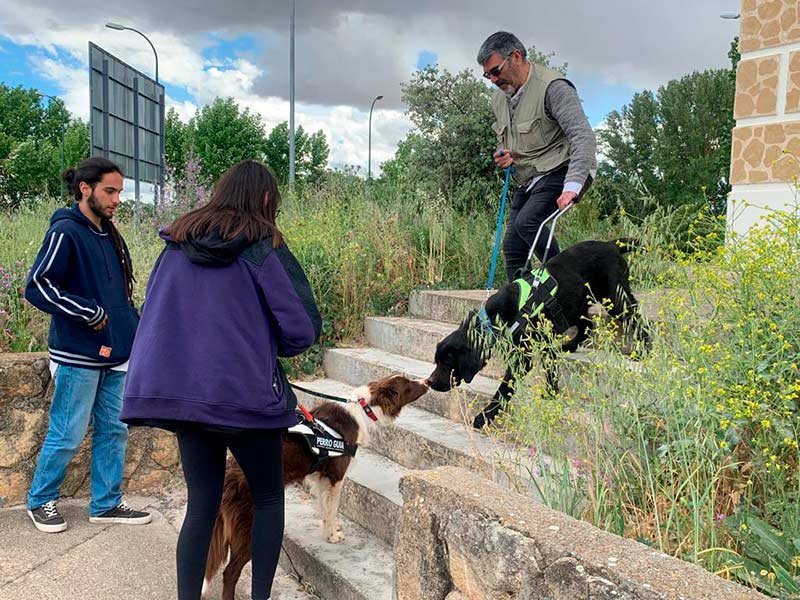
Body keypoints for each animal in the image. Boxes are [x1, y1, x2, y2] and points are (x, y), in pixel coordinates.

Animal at [205, 376, 432, 600]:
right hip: (250, 526)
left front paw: (330, 529)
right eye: (409, 383)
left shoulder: (320, 478)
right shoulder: (336, 477)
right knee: (229, 572)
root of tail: (230, 474)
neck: (363, 409)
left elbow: (325, 509)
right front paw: (332, 536)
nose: (428, 382)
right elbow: (332, 508)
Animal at [424, 237, 648, 428]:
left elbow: (504, 389)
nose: (430, 382)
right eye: (436, 361)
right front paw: (551, 392)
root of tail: (611, 244)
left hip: (616, 299)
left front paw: (484, 417)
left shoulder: (523, 359)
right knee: (588, 326)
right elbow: (550, 366)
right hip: (577, 304)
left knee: (639, 321)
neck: (497, 317)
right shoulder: (542, 341)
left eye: (448, 363)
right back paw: (569, 346)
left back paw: (644, 351)